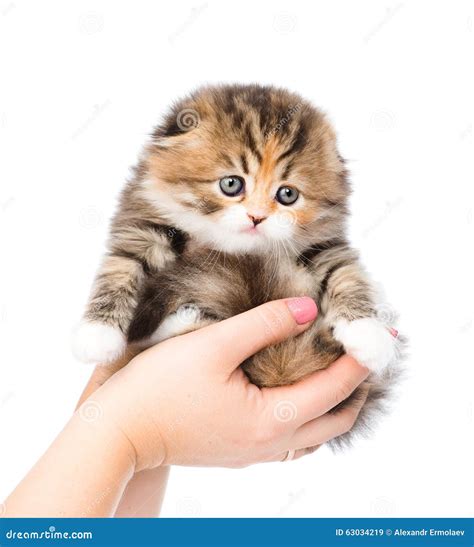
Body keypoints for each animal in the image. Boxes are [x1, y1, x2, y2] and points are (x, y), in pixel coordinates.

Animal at [71, 84, 404, 446]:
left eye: (288, 194)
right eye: (231, 184)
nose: (256, 217)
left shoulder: (323, 245)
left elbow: (346, 274)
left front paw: (368, 334)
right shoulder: (143, 224)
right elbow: (119, 269)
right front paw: (97, 334)